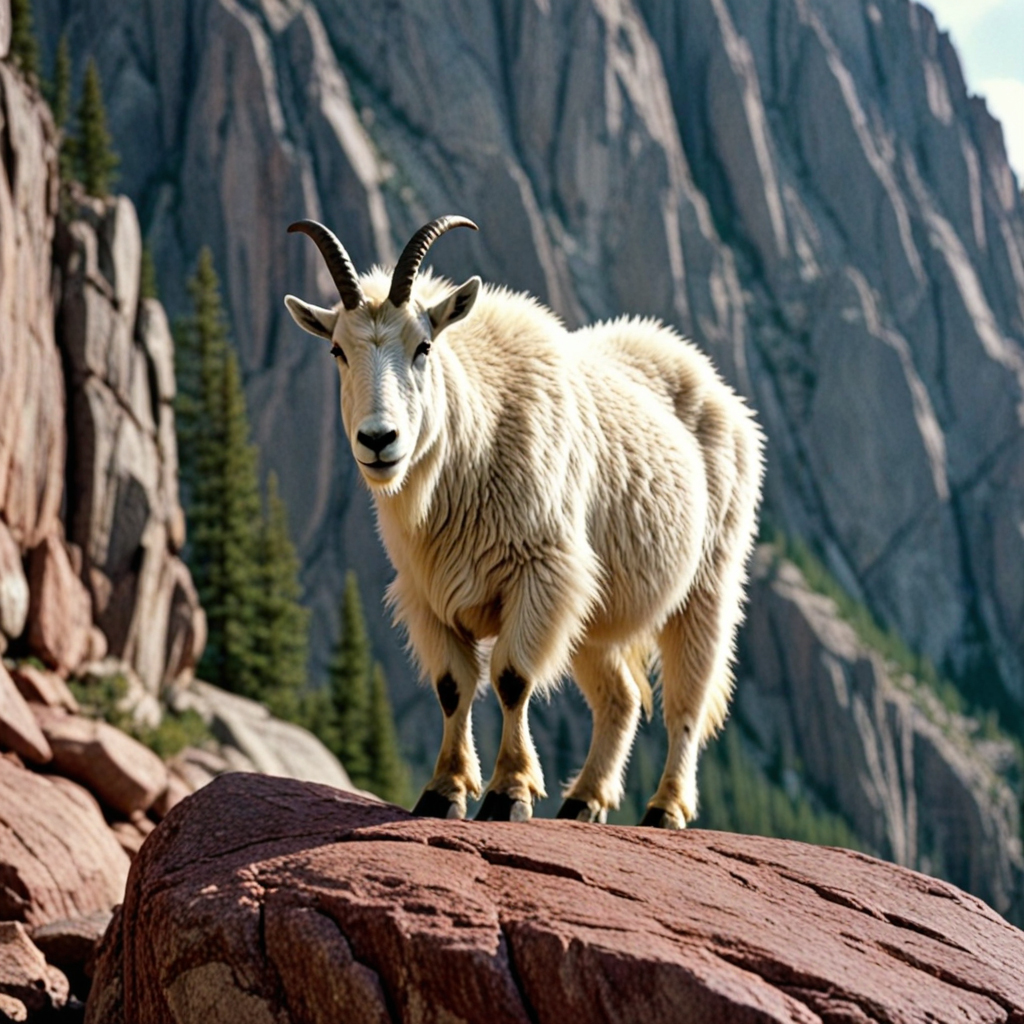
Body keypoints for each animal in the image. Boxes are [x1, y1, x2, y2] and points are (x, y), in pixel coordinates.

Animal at [285, 217, 764, 826]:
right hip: (599, 610)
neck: (473, 439)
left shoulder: (540, 572)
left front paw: (508, 793)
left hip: (708, 582)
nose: (378, 440)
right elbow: (452, 686)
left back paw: (665, 809)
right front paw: (444, 791)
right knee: (621, 696)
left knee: (687, 698)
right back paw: (583, 800)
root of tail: (725, 397)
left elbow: (512, 679)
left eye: (423, 346)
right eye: (336, 351)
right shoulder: (427, 592)